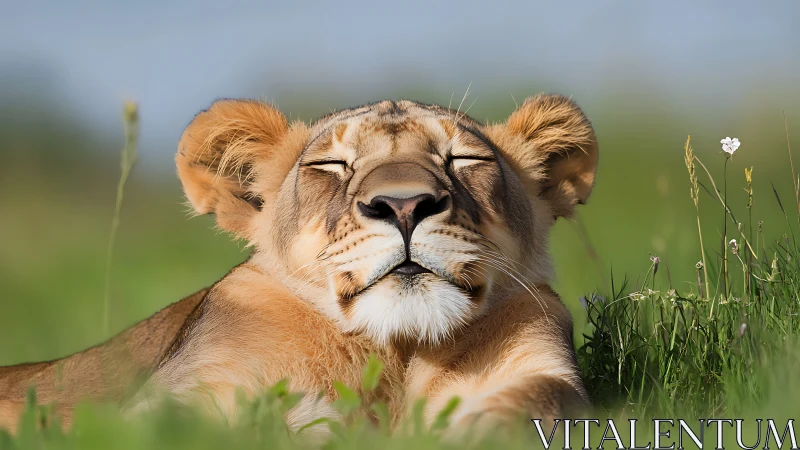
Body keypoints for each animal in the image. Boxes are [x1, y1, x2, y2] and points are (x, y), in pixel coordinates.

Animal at [0, 94, 598, 437]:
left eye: (466, 159)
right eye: (330, 165)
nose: (404, 205)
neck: (396, 350)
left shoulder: (539, 363)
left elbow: (539, 404)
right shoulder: (168, 398)